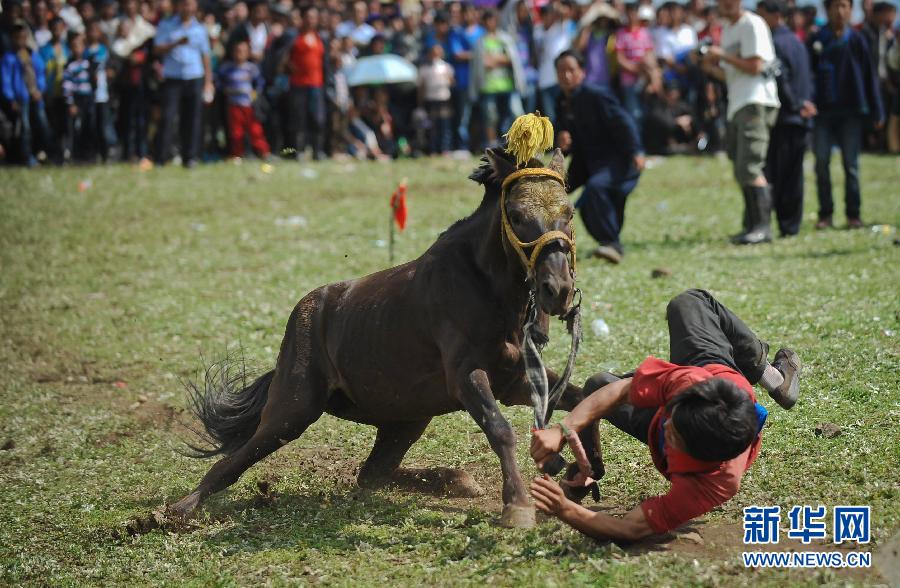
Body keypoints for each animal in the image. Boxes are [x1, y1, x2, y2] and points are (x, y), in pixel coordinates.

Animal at [171, 147, 604, 528]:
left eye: (568, 213)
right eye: (515, 214)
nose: (557, 289)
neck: (488, 288)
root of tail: (305, 313)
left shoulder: (515, 380)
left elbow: (585, 393)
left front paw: (585, 466)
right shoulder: (467, 377)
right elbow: (500, 429)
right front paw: (517, 505)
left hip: (407, 420)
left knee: (371, 474)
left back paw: (454, 480)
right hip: (292, 411)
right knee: (232, 462)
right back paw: (178, 510)